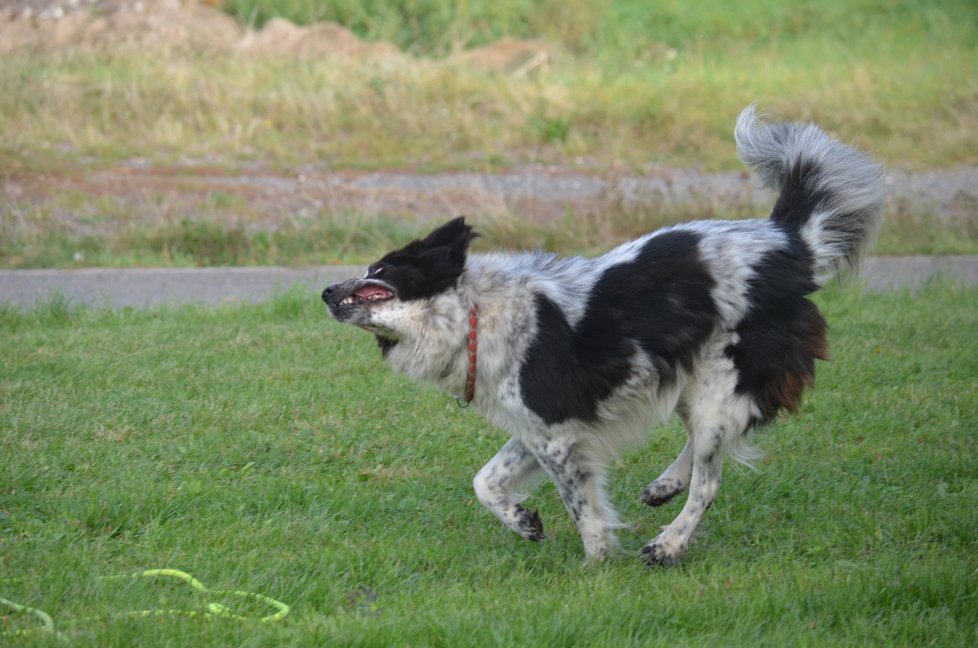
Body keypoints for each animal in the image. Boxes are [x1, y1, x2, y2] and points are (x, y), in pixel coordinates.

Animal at [322, 106, 884, 560]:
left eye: (379, 270)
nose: (325, 291)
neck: (477, 314)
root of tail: (787, 242)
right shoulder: (542, 425)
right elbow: (484, 481)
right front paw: (523, 522)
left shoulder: (557, 435)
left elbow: (583, 510)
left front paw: (598, 566)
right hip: (694, 379)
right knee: (709, 446)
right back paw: (665, 485)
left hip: (724, 379)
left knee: (709, 482)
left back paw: (669, 544)